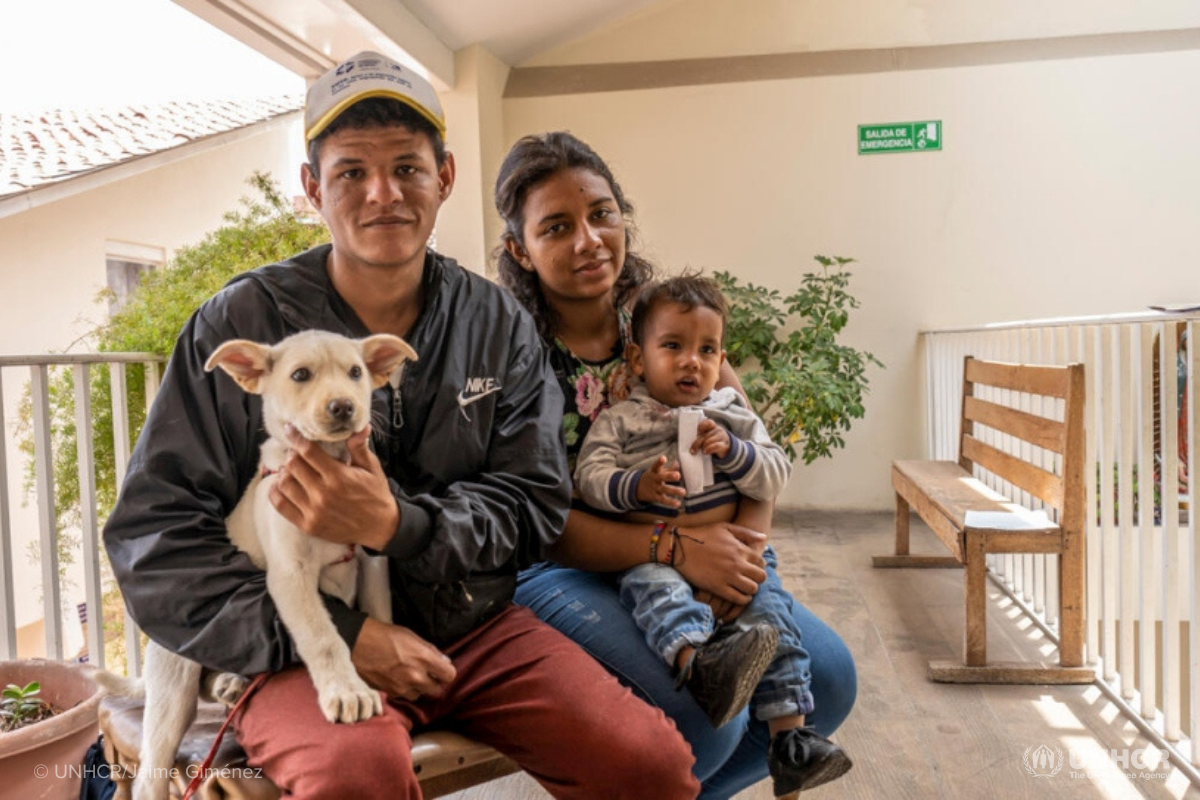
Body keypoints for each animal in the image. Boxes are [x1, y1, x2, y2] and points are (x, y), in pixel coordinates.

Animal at [100, 328, 417, 796]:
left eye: (356, 372)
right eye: (300, 375)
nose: (344, 406)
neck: (329, 463)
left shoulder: (372, 556)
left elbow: (380, 614)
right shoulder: (291, 575)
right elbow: (323, 636)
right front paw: (345, 690)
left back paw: (232, 681)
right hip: (174, 688)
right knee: (150, 770)